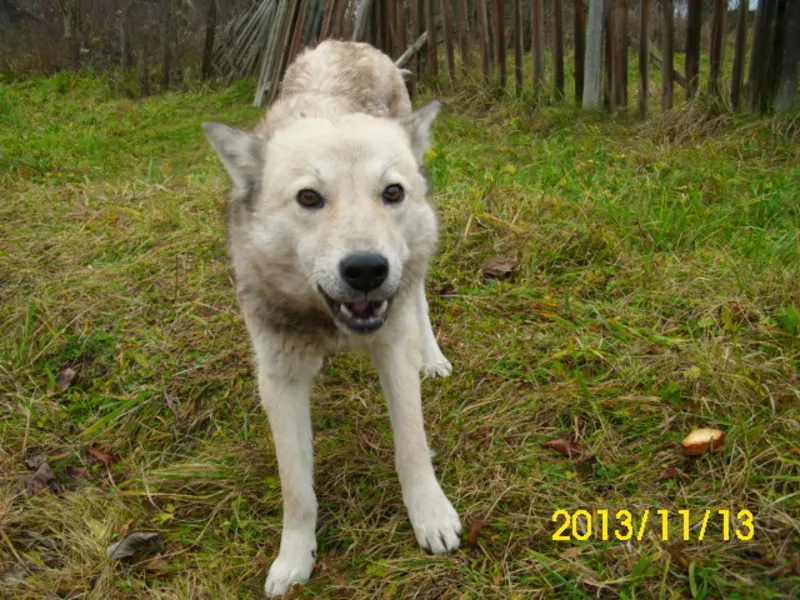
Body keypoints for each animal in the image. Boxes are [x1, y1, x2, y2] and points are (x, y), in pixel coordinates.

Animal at [203, 41, 460, 596]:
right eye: (309, 198)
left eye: (391, 192)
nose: (366, 270)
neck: (329, 324)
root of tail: (347, 43)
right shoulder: (279, 380)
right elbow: (296, 489)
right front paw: (294, 560)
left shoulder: (392, 349)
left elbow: (411, 447)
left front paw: (430, 517)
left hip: (413, 267)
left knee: (419, 298)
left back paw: (432, 355)